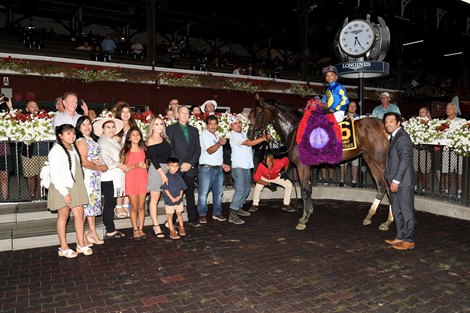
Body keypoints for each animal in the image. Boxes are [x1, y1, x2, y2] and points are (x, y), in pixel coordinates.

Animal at [248, 98, 394, 230]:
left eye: (258, 113)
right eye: (250, 114)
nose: (249, 135)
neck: (295, 130)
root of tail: (385, 126)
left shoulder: (302, 166)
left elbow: (304, 189)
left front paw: (303, 219)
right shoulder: (307, 167)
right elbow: (309, 189)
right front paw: (308, 214)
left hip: (381, 162)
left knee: (389, 187)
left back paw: (388, 221)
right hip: (369, 159)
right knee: (381, 187)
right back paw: (369, 216)